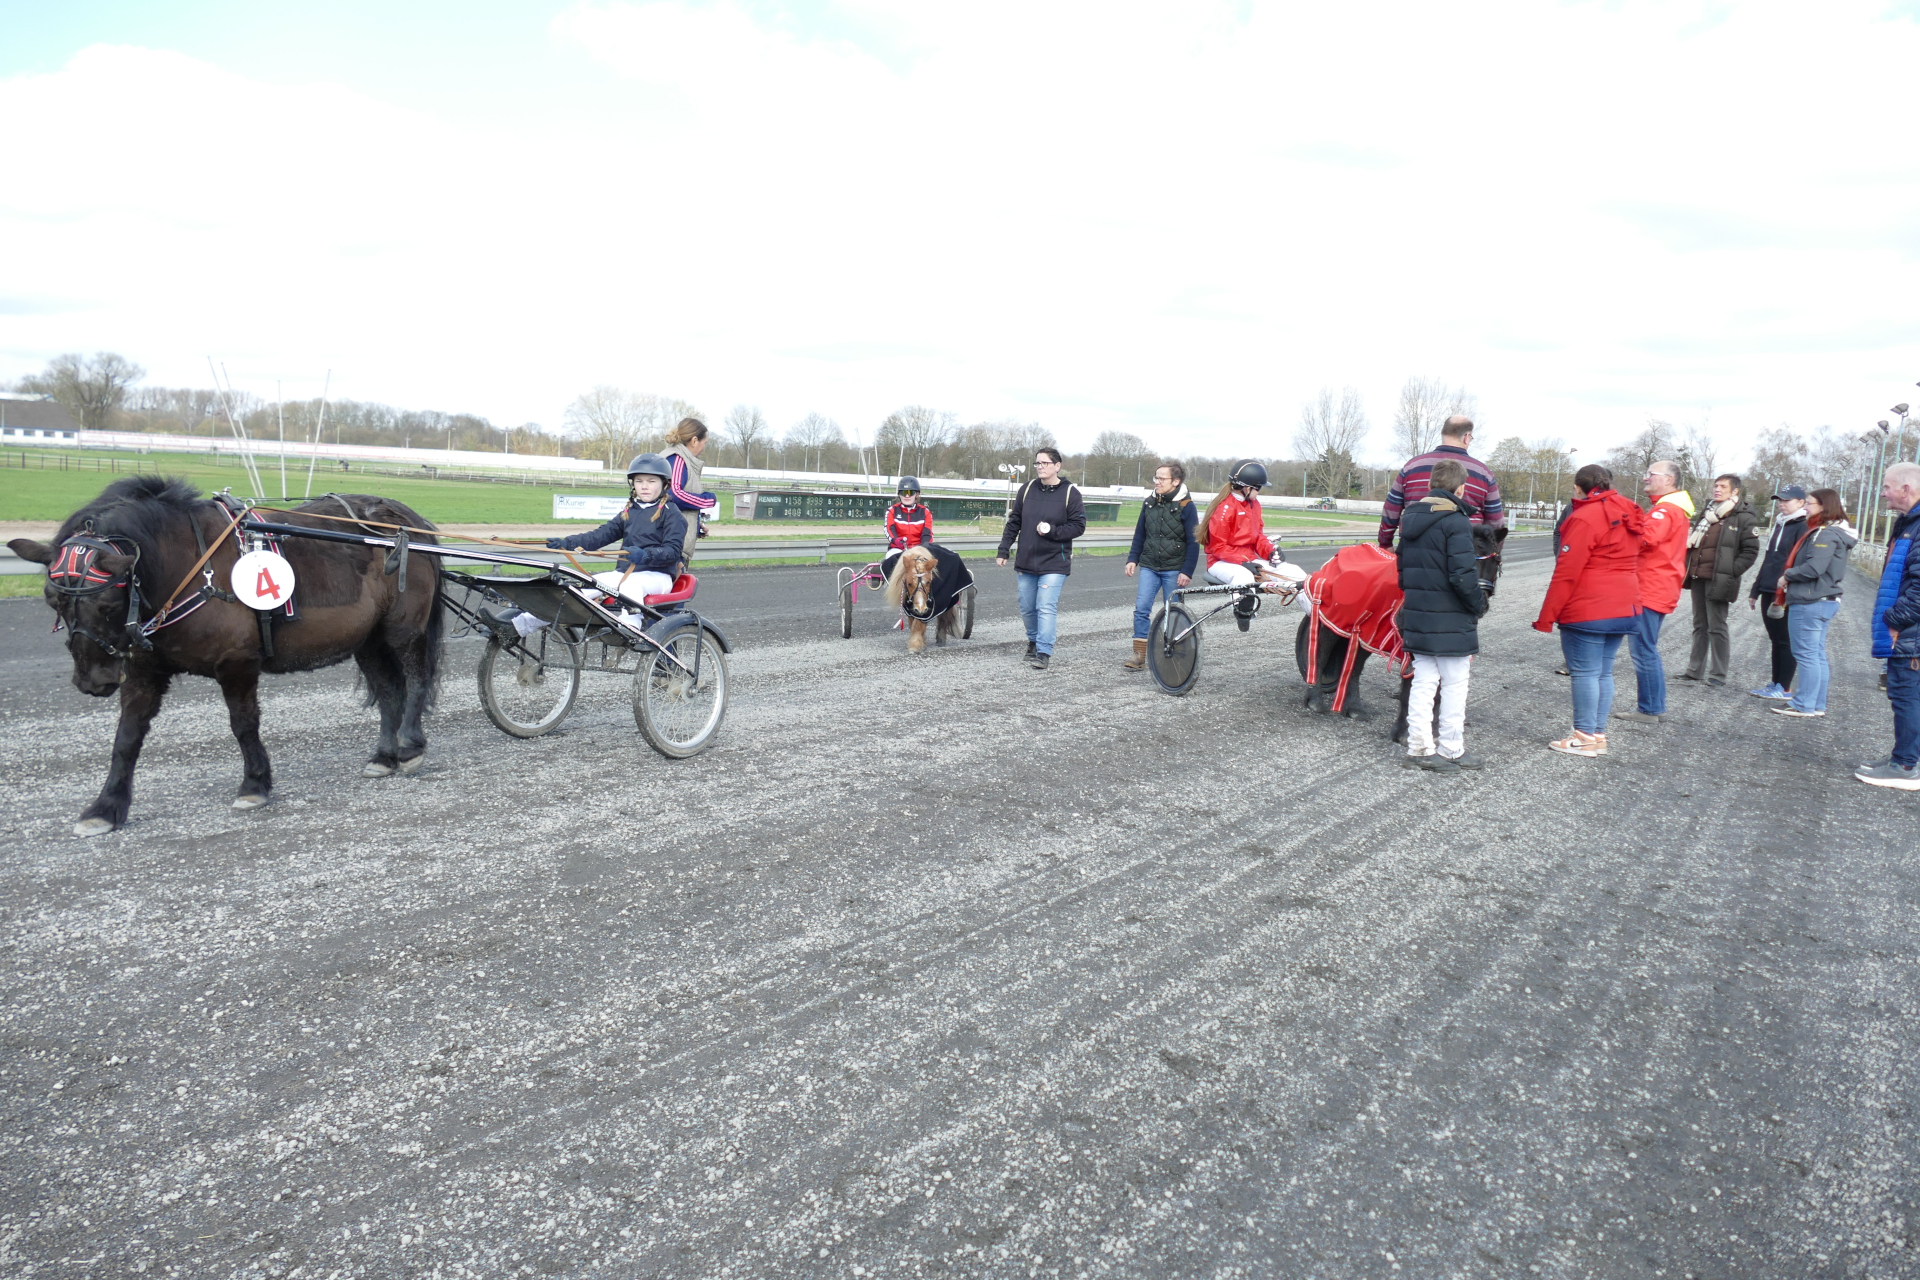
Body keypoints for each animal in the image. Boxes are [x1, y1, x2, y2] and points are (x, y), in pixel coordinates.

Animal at [8, 476, 444, 836]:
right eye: (52, 599)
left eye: (107, 604)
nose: (92, 681)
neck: (185, 564)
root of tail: (405, 520)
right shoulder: (144, 668)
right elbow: (127, 738)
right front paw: (105, 807)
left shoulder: (237, 662)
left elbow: (243, 725)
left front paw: (254, 784)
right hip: (368, 639)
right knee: (388, 690)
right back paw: (384, 756)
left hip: (402, 628)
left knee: (415, 679)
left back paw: (409, 746)